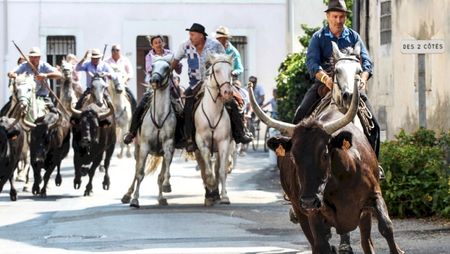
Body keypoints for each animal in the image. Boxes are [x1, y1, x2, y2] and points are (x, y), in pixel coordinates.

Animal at [121, 54, 178, 207]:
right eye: (152, 66)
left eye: (167, 67)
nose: (154, 80)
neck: (159, 116)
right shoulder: (145, 146)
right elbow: (140, 174)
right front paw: (135, 200)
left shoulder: (168, 146)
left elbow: (162, 175)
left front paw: (166, 187)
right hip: (137, 148)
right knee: (136, 171)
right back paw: (127, 195)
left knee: (158, 174)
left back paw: (161, 198)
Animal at [194, 54, 236, 206]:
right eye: (216, 71)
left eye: (231, 71)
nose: (227, 92)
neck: (213, 113)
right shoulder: (201, 142)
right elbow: (206, 168)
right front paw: (211, 185)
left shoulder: (224, 142)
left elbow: (222, 171)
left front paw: (224, 196)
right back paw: (210, 194)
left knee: (219, 167)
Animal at [248, 81, 402, 254]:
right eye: (293, 157)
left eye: (324, 154)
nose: (309, 201)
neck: (340, 180)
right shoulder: (314, 214)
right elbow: (322, 244)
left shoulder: (374, 195)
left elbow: (386, 227)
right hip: (300, 210)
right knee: (317, 243)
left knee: (366, 241)